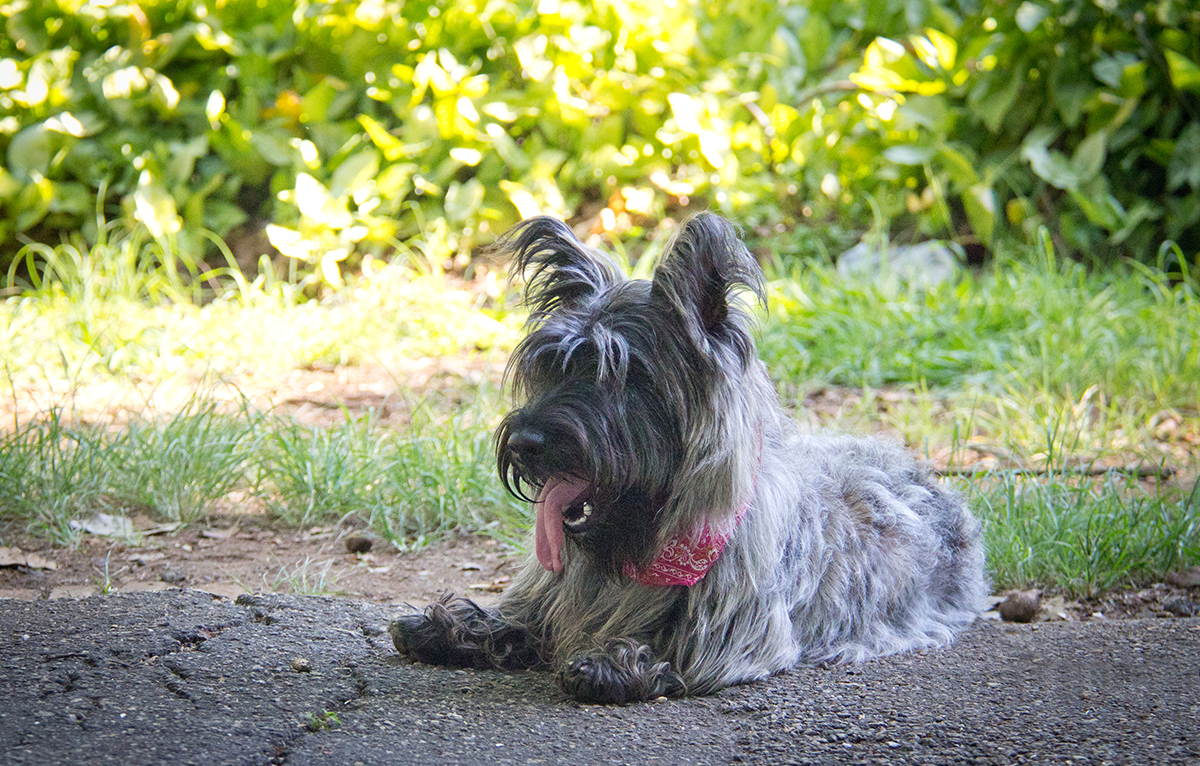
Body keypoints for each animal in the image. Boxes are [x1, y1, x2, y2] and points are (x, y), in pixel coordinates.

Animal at [388, 213, 988, 705]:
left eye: (625, 375)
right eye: (552, 365)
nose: (524, 443)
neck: (639, 546)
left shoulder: (729, 640)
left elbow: (669, 654)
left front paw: (611, 664)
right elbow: (518, 621)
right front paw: (453, 627)